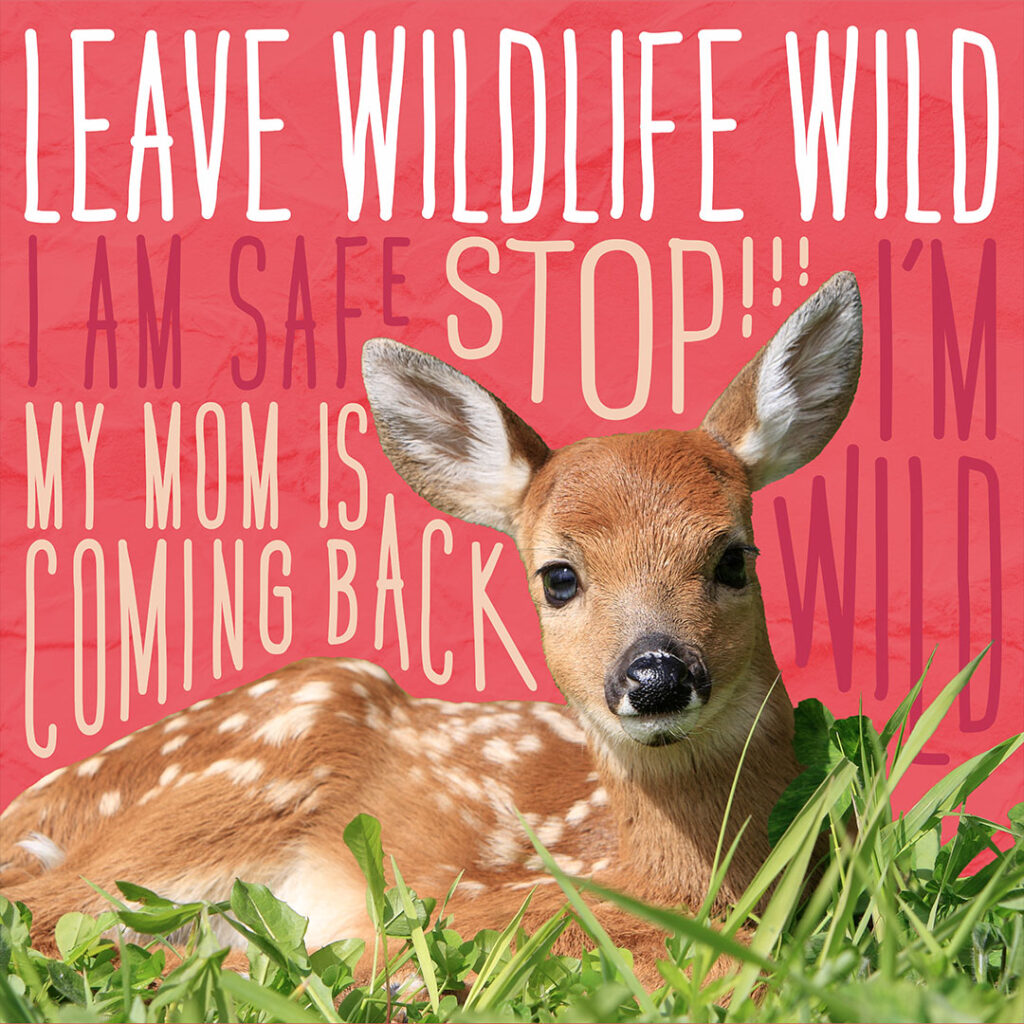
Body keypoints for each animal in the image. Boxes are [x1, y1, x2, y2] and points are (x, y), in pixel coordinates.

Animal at [0, 272, 862, 987]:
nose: (655, 677)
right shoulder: (474, 906)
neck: (670, 884)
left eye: (734, 557)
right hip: (258, 766)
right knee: (51, 914)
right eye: (558, 577)